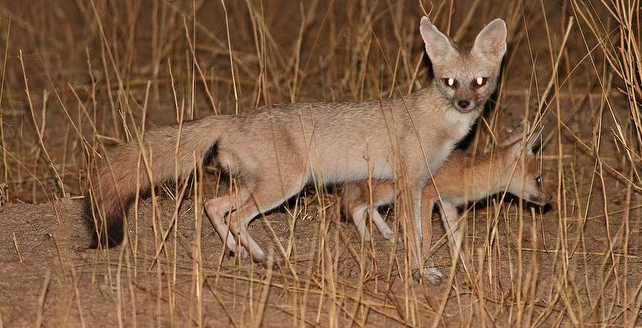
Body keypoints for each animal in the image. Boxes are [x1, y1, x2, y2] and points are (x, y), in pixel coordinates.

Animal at [84, 16, 504, 266]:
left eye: (478, 82)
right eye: (449, 82)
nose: (465, 103)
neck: (437, 120)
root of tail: (232, 118)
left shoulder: (417, 184)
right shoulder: (408, 184)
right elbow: (414, 235)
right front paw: (421, 271)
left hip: (260, 186)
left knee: (213, 206)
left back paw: (245, 253)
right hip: (282, 187)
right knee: (233, 215)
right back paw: (258, 254)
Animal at [340, 120, 552, 282]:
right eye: (538, 179)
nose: (550, 199)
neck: (465, 172)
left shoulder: (447, 204)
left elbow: (456, 240)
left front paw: (469, 272)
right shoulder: (427, 196)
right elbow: (425, 235)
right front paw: (424, 270)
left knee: (369, 209)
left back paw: (388, 233)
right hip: (386, 193)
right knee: (355, 207)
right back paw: (368, 239)